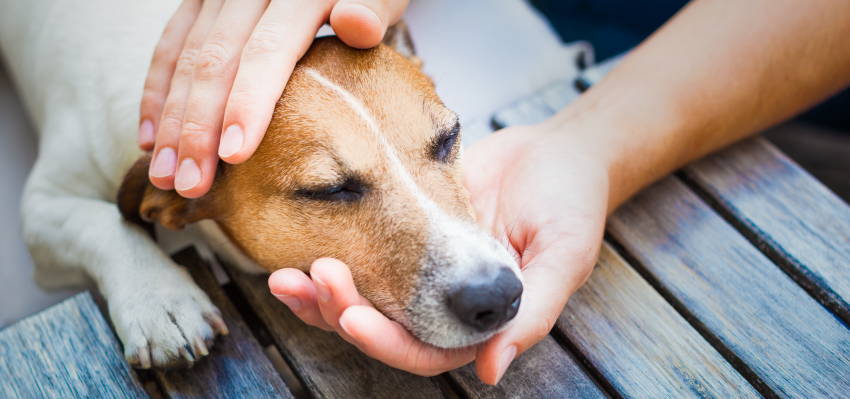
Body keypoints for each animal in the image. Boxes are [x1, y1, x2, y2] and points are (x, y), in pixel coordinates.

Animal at [1, 1, 524, 370]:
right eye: (329, 190)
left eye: (449, 138)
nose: (497, 296)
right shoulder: (42, 209)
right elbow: (101, 223)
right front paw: (160, 300)